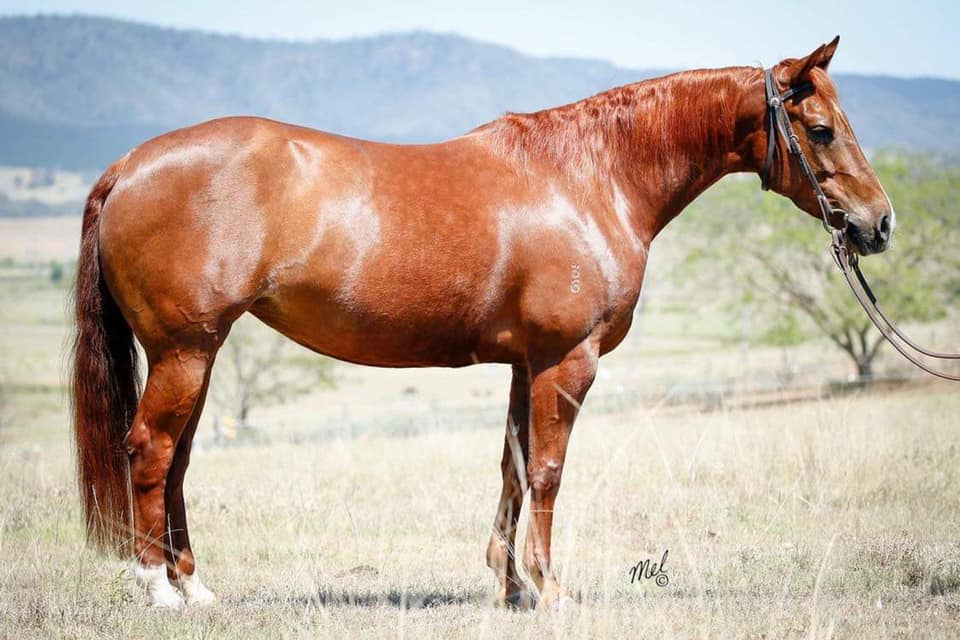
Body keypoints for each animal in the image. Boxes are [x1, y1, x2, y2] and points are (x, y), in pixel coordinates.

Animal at [71, 36, 894, 609]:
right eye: (820, 128)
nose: (879, 224)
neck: (590, 177)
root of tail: (129, 166)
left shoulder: (526, 363)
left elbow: (512, 467)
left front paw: (511, 586)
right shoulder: (567, 360)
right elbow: (549, 471)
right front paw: (551, 589)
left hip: (196, 354)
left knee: (178, 459)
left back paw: (195, 586)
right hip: (185, 350)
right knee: (150, 450)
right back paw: (160, 592)